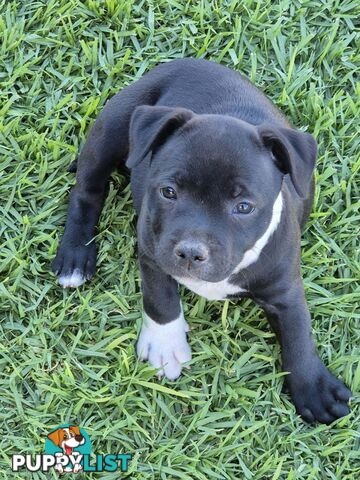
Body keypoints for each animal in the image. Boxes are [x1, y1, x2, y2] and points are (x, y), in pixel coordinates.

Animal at [52, 59, 352, 424]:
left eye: (244, 207)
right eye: (168, 192)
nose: (191, 253)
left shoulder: (285, 287)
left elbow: (298, 332)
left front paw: (313, 387)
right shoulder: (152, 250)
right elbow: (159, 297)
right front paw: (165, 343)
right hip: (111, 128)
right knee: (88, 191)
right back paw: (75, 258)